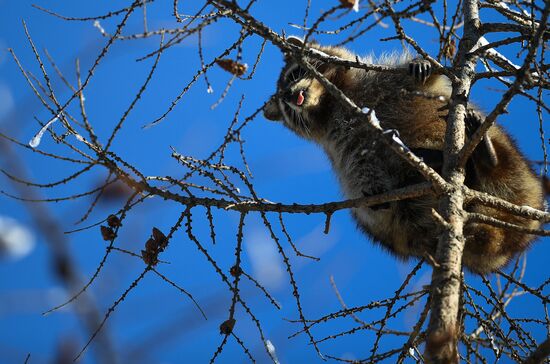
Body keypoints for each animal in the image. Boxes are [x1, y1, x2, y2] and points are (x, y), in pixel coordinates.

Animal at [266, 37, 544, 276]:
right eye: (283, 102)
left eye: (294, 74)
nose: (289, 95)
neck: (329, 103)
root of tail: (506, 245)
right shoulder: (339, 139)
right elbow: (354, 164)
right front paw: (374, 188)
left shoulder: (380, 80)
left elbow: (424, 80)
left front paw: (422, 66)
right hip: (402, 229)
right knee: (374, 211)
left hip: (518, 171)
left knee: (502, 160)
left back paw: (488, 156)